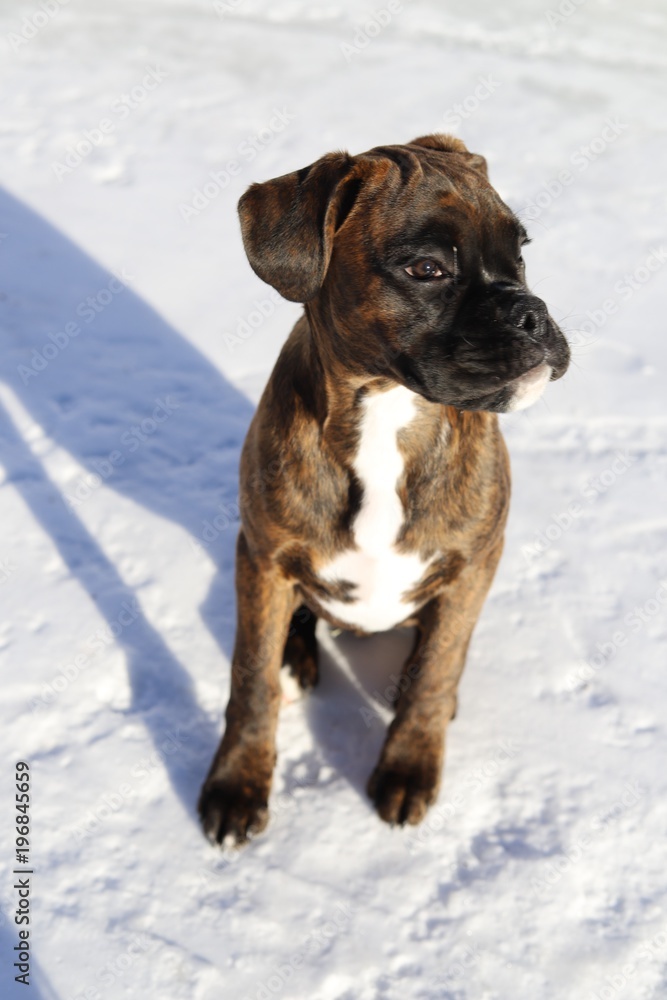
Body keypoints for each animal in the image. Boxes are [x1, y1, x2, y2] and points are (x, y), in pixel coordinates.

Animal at [197, 131, 568, 844]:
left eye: (521, 253)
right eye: (427, 269)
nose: (532, 312)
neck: (389, 413)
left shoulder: (473, 565)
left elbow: (433, 673)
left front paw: (408, 766)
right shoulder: (261, 558)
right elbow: (250, 681)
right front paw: (237, 782)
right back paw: (296, 658)